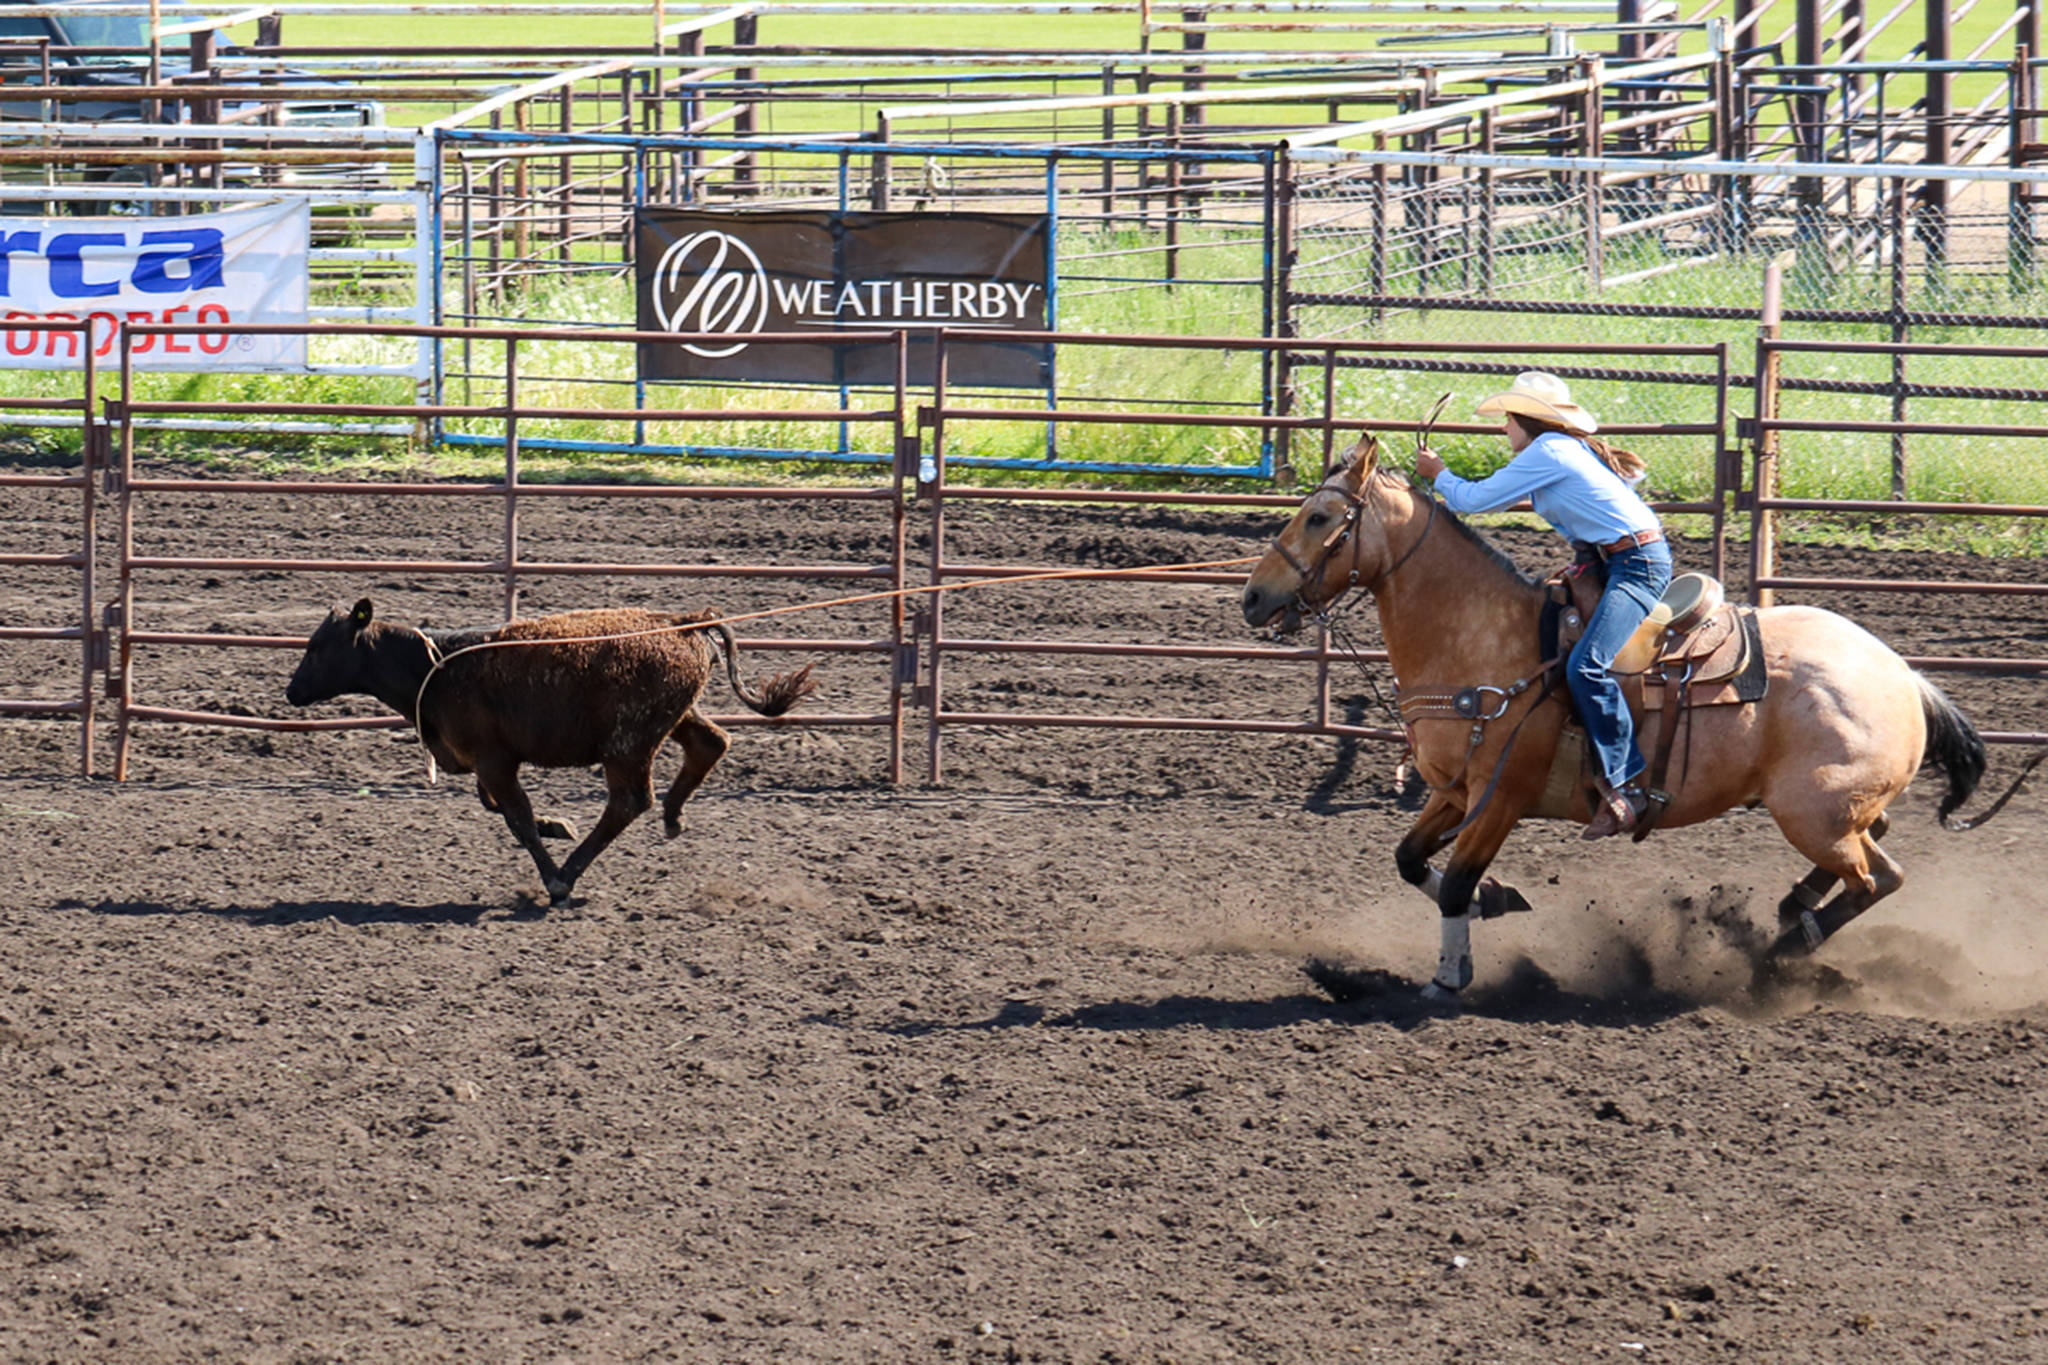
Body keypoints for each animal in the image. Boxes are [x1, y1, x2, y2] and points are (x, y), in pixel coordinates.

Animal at [1236, 437, 2039, 1002]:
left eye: (1319, 517)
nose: (1252, 597)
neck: (1486, 642)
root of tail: (1902, 674)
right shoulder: (1456, 790)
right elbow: (1410, 861)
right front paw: (1500, 901)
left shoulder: (1503, 796)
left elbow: (1457, 881)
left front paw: (1448, 976)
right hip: (1836, 809)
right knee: (1883, 853)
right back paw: (1792, 910)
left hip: (1812, 812)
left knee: (1876, 879)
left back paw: (1782, 950)